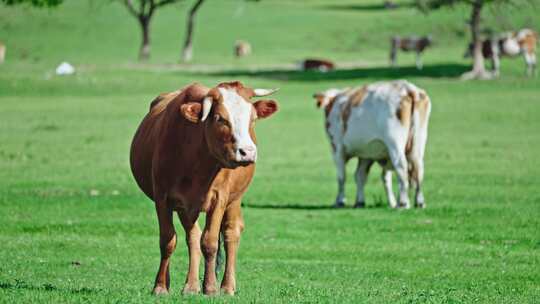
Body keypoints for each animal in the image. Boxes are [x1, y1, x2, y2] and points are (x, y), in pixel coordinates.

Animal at [130, 82, 278, 296]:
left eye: (253, 118)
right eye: (220, 118)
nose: (248, 152)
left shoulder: (219, 198)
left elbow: (210, 242)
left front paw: (210, 287)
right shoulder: (163, 198)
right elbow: (168, 240)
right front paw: (160, 285)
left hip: (235, 199)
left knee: (231, 233)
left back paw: (227, 286)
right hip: (184, 207)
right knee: (193, 237)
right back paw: (190, 285)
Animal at [314, 79, 432, 209]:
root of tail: (409, 89)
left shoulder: (337, 147)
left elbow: (341, 177)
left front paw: (340, 201)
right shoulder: (367, 152)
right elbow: (361, 175)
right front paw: (360, 202)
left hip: (394, 142)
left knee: (401, 166)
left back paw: (402, 203)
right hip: (419, 139)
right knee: (418, 167)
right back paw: (419, 202)